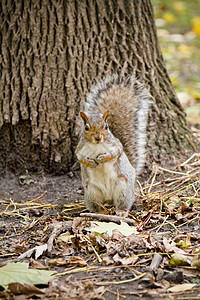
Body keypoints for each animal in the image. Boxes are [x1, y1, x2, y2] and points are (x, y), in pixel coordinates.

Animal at [75, 75, 150, 213]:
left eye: (106, 127)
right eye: (86, 127)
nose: (98, 137)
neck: (96, 145)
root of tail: (109, 199)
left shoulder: (115, 145)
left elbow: (116, 153)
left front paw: (102, 158)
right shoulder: (80, 148)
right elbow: (80, 158)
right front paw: (90, 162)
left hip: (123, 188)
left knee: (123, 204)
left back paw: (121, 212)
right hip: (92, 191)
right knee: (97, 205)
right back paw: (101, 211)